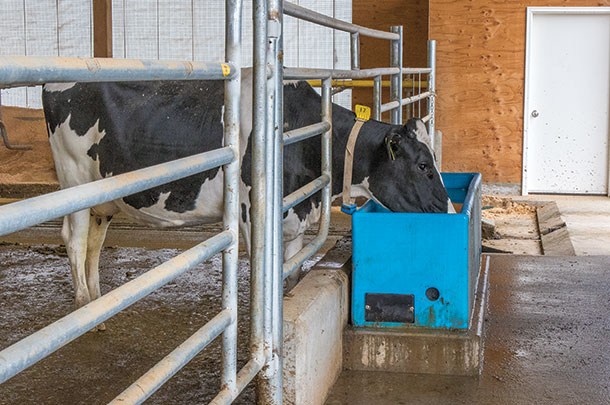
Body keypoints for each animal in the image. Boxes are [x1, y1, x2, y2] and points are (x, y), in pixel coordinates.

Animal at [41, 68, 446, 328]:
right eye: (424, 165)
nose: (447, 208)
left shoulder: (294, 216)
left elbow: (291, 273)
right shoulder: (253, 214)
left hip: (104, 197)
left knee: (94, 242)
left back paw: (97, 310)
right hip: (74, 181)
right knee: (74, 240)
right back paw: (84, 312)